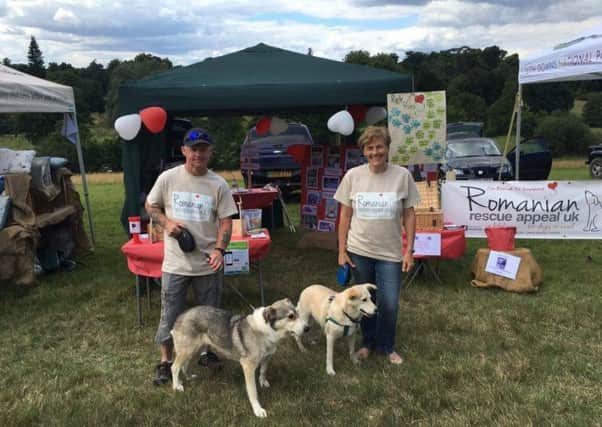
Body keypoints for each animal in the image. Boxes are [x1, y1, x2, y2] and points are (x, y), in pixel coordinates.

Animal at [171, 300, 308, 420]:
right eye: (290, 317)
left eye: (297, 313)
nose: (307, 329)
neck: (266, 330)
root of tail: (181, 315)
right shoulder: (248, 366)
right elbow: (252, 391)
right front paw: (258, 410)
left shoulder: (267, 357)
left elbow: (263, 371)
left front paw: (263, 382)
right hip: (188, 350)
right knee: (175, 367)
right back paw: (176, 386)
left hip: (195, 349)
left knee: (184, 365)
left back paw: (189, 377)